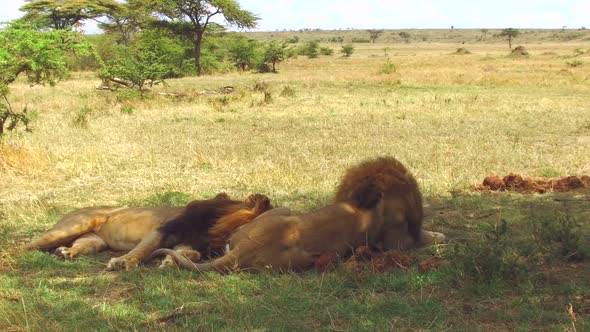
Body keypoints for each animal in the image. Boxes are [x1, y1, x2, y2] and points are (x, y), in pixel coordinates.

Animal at [23, 193, 272, 272]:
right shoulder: (162, 229)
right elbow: (144, 249)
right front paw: (123, 262)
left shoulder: (188, 243)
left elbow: (191, 254)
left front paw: (169, 262)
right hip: (73, 226)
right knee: (26, 245)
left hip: (94, 241)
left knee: (78, 246)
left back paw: (66, 253)